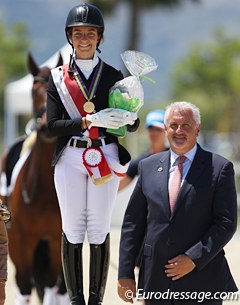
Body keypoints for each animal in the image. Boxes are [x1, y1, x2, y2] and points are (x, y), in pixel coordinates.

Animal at [4, 53, 70, 302]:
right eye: (33, 91)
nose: (47, 126)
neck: (45, 190)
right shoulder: (23, 242)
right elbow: (24, 286)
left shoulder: (55, 239)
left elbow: (52, 287)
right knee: (23, 284)